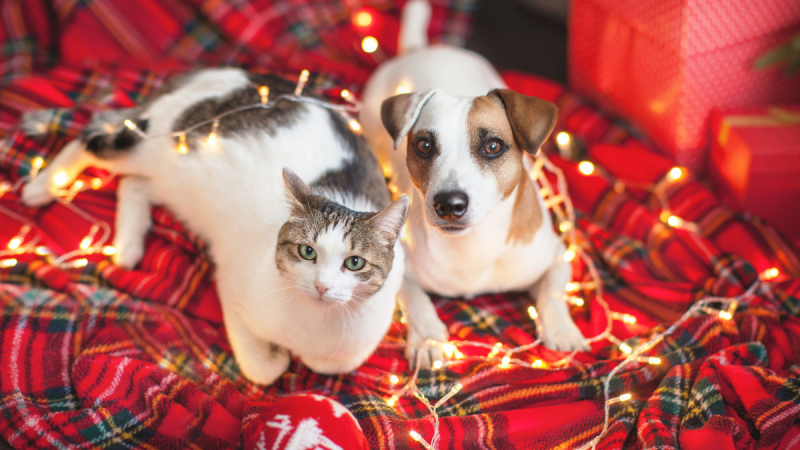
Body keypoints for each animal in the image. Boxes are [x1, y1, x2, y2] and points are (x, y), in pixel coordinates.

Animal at [21, 68, 410, 384]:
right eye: (307, 252)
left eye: (354, 262)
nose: (322, 286)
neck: (314, 322)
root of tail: (229, 72)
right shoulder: (233, 292)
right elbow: (264, 369)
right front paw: (278, 356)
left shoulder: (359, 342)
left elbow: (330, 363)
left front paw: (302, 355)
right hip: (150, 144)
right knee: (92, 136)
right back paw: (42, 188)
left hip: (171, 181)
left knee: (133, 184)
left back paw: (128, 247)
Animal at [360, 0, 584, 370]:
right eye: (424, 145)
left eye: (493, 146)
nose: (449, 204)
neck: (473, 247)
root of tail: (425, 49)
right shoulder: (396, 264)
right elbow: (415, 297)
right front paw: (428, 338)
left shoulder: (556, 255)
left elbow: (552, 291)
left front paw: (562, 330)